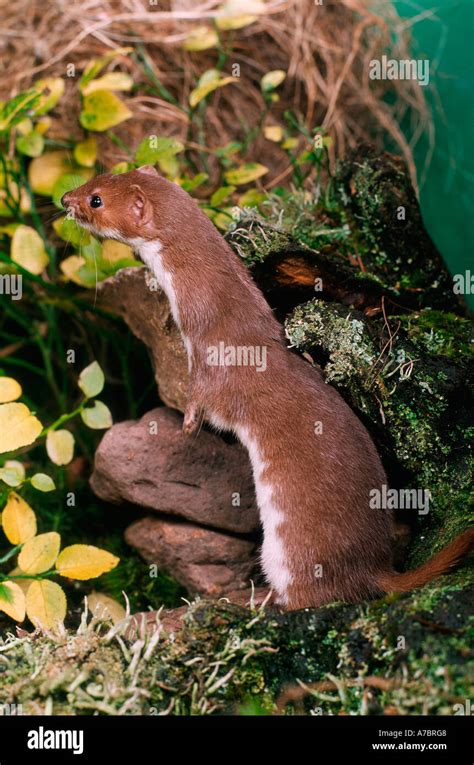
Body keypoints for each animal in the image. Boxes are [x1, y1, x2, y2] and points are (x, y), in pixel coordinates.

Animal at [62, 167, 470, 608]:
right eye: (98, 177)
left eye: (96, 200)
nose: (65, 199)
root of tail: (376, 567)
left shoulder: (213, 365)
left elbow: (204, 400)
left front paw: (187, 426)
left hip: (289, 552)